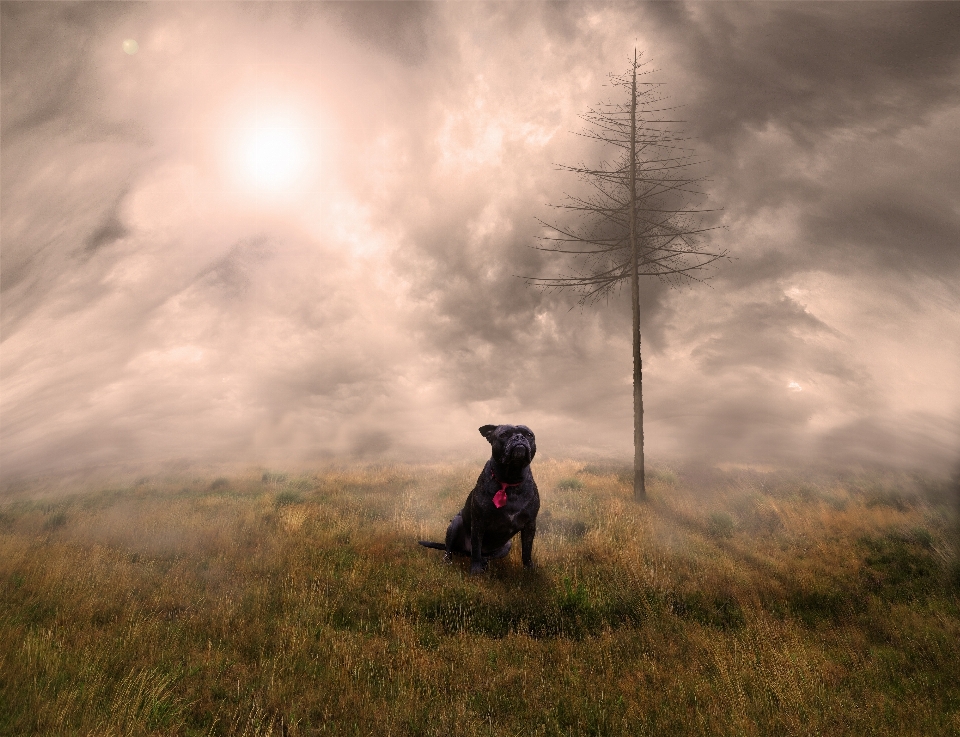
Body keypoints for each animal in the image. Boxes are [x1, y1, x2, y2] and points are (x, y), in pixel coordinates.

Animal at [420, 422, 540, 572]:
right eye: (504, 434)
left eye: (529, 435)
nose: (519, 437)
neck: (509, 480)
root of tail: (464, 552)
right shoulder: (478, 522)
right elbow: (476, 548)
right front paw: (475, 570)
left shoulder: (530, 524)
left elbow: (527, 550)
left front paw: (529, 569)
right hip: (456, 523)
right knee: (450, 550)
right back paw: (449, 562)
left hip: (507, 545)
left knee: (487, 556)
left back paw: (485, 562)